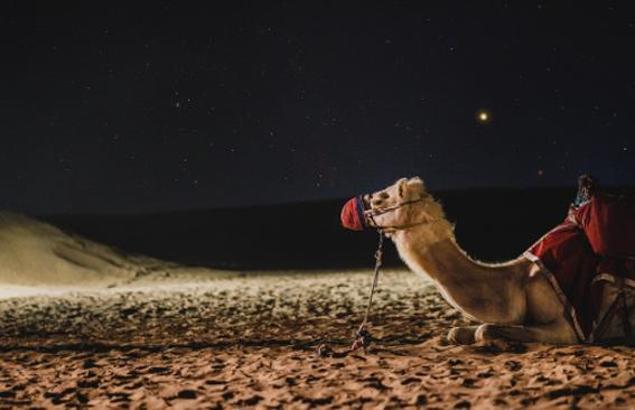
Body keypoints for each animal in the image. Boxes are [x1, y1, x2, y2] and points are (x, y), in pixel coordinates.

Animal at [342, 177, 635, 346]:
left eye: (382, 198)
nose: (348, 210)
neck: (516, 283)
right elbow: (458, 332)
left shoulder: (570, 327)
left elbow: (484, 330)